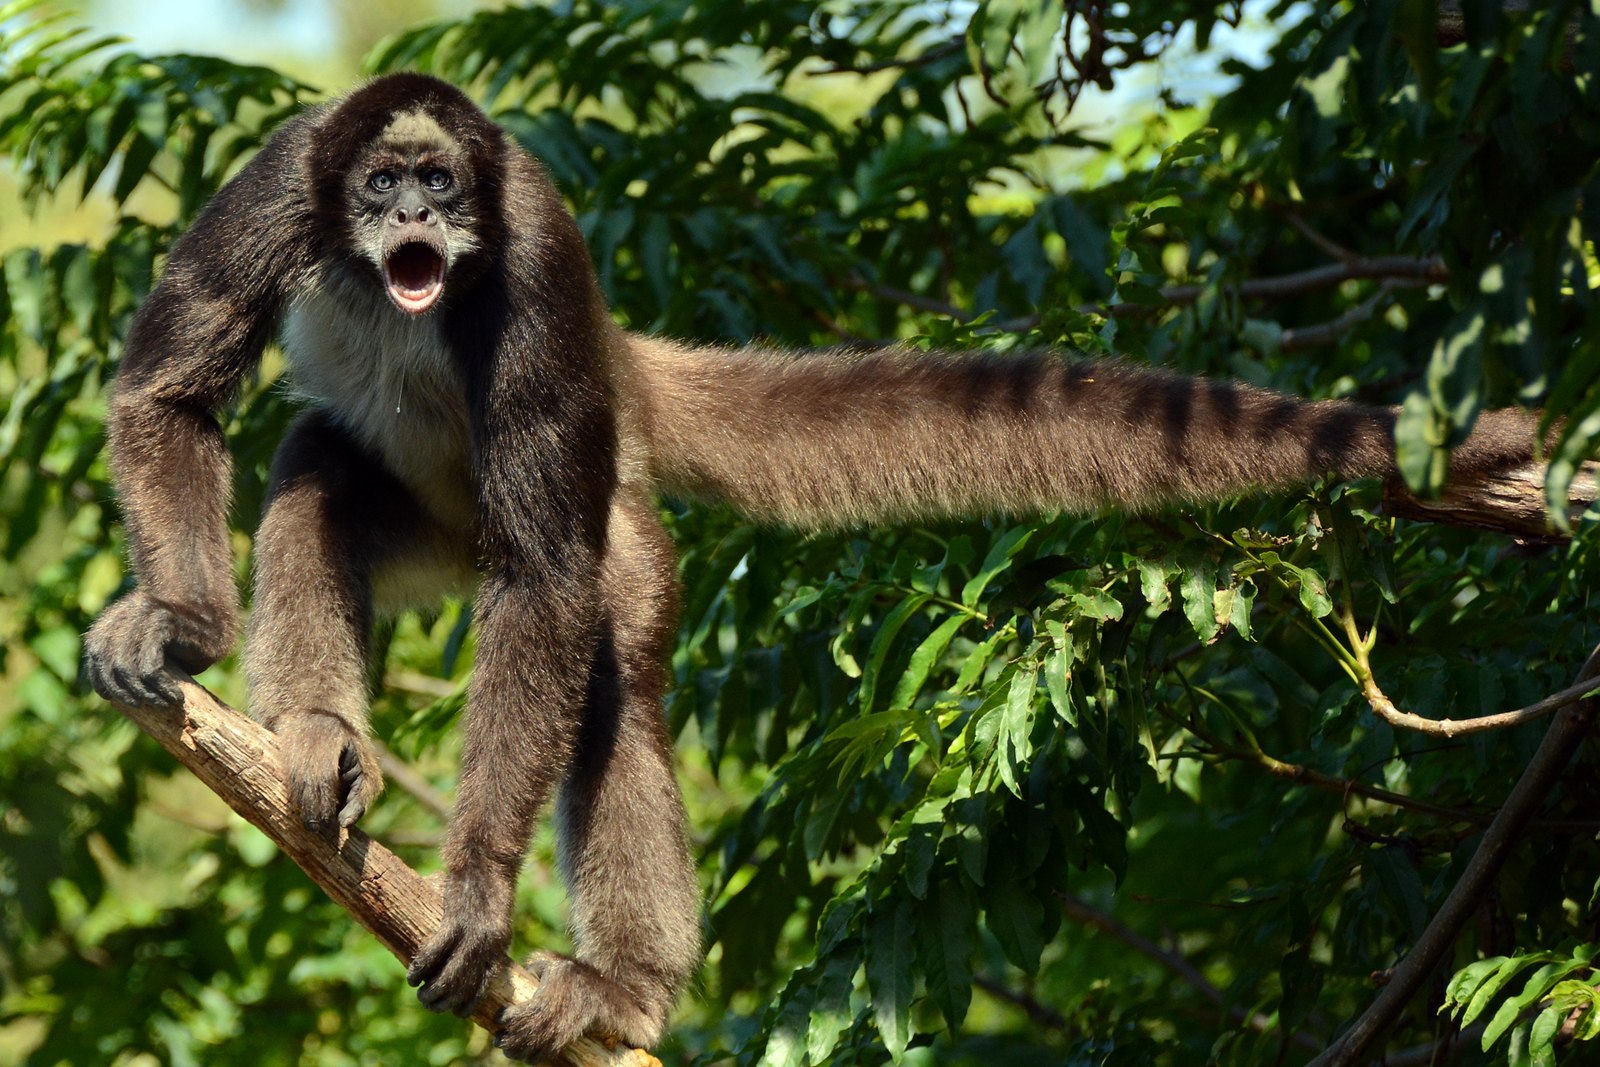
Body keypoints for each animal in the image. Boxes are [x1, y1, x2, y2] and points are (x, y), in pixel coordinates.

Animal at [81, 73, 1542, 1062]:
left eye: (440, 188)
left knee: (603, 665)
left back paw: (623, 983)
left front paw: (480, 882)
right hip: (435, 524)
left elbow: (549, 589)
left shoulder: (536, 239)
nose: (410, 217)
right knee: (318, 466)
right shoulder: (288, 174)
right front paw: (183, 622)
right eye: (381, 186)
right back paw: (317, 730)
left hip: (609, 514)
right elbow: (168, 391)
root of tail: (628, 382)